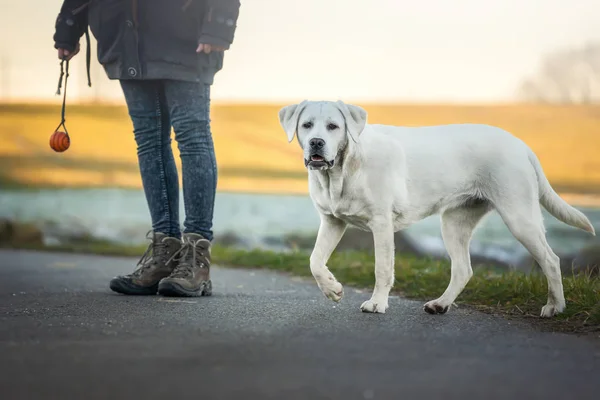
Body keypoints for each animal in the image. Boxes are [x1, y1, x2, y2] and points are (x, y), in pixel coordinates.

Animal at [278, 101, 596, 318]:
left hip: (520, 217)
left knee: (551, 260)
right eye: (307, 125)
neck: (341, 172)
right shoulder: (332, 221)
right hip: (454, 224)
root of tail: (521, 145)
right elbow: (314, 261)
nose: (316, 143)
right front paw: (332, 289)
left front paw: (377, 303)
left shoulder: (381, 224)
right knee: (464, 269)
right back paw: (441, 304)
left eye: (333, 126)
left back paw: (555, 306)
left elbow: (382, 268)